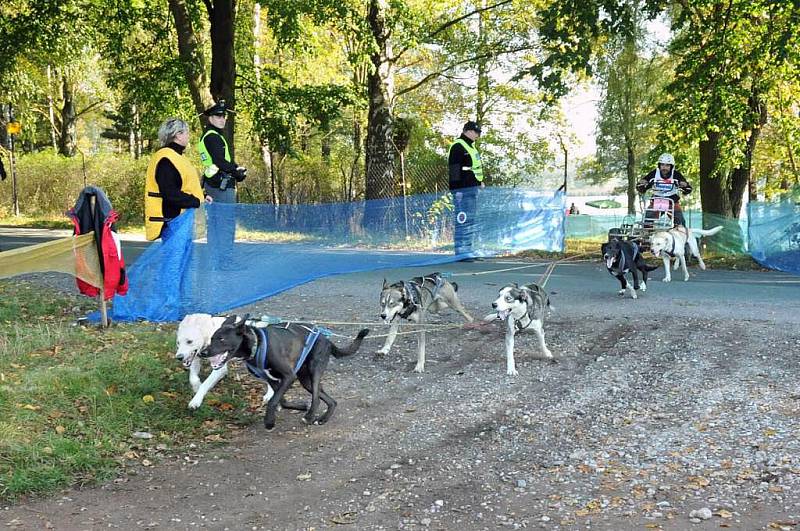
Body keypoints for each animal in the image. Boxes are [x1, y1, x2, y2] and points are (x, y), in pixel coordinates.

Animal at [200, 314, 368, 430]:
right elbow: (280, 400)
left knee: (316, 397)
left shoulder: (289, 376)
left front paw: (269, 422)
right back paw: (323, 418)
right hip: (304, 379)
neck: (256, 345)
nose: (202, 353)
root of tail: (326, 339)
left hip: (314, 370)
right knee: (330, 400)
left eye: (222, 339)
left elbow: (274, 400)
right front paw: (299, 406)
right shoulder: (274, 380)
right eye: (212, 338)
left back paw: (310, 416)